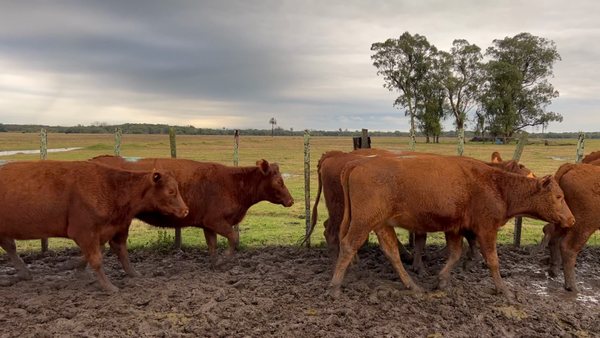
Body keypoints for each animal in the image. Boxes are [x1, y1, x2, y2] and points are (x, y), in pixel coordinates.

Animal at [0, 160, 188, 290]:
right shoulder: (84, 232)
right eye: (171, 191)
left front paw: (135, 274)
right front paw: (109, 287)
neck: (112, 188)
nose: (186, 211)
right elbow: (96, 258)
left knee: (9, 246)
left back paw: (24, 273)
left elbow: (119, 254)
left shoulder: (114, 230)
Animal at [88, 156, 294, 270]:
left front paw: (214, 265)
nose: (291, 200)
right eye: (278, 182)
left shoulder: (207, 224)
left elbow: (212, 245)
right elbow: (234, 239)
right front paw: (223, 262)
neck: (233, 184)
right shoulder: (216, 221)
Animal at [330, 154, 576, 298]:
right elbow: (493, 261)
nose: (572, 220)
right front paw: (504, 290)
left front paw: (442, 281)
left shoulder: (455, 229)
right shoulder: (486, 230)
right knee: (349, 245)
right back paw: (335, 287)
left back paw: (413, 286)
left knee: (391, 252)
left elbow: (455, 253)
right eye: (558, 196)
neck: (497, 186)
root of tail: (358, 162)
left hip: (382, 224)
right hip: (363, 222)